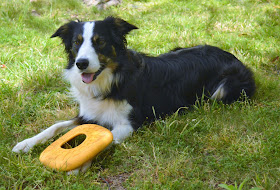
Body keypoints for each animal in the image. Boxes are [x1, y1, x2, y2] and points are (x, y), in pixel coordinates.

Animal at [12, 17, 256, 173]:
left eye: (100, 42)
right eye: (76, 43)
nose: (81, 64)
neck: (111, 79)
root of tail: (231, 55)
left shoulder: (129, 123)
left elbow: (106, 140)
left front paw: (79, 165)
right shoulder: (88, 114)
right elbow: (55, 126)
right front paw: (25, 144)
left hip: (224, 89)